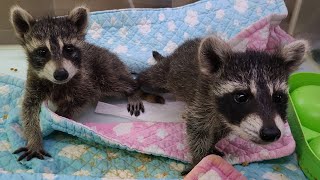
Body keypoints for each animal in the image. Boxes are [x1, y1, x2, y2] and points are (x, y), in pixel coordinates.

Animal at [9, 5, 144, 161]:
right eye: (42, 51)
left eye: (68, 48)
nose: (61, 74)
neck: (58, 84)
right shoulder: (34, 82)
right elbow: (28, 110)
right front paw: (34, 139)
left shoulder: (85, 80)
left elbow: (79, 101)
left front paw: (59, 115)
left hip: (105, 69)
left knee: (115, 83)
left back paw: (133, 91)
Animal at [138, 35, 308, 173]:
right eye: (241, 97)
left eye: (278, 97)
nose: (271, 133)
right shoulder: (203, 98)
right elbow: (198, 130)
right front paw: (199, 158)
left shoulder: (229, 118)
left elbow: (220, 131)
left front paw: (212, 145)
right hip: (169, 72)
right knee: (151, 77)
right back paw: (137, 87)